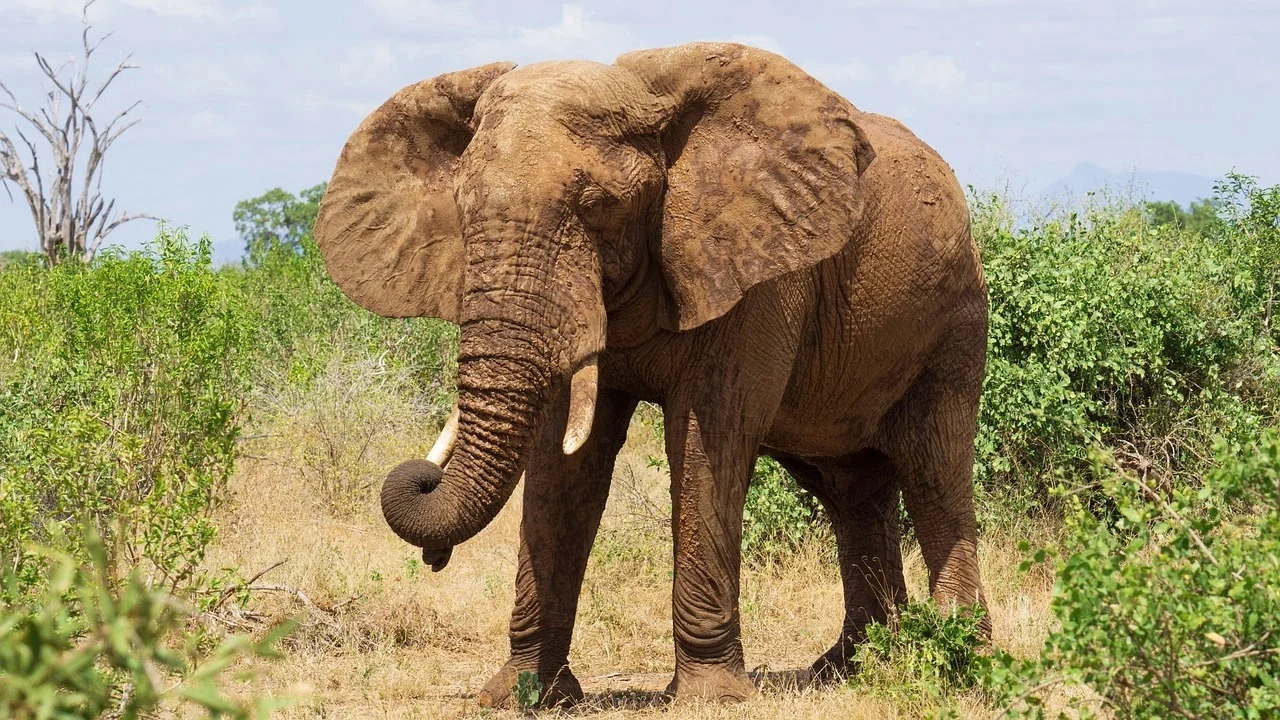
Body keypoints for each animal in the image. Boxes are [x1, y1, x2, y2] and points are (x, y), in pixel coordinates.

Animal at [314, 42, 989, 706]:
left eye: (599, 209)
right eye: (460, 210)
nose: (434, 548)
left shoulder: (759, 278)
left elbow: (705, 442)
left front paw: (712, 698)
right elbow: (565, 465)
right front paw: (521, 694)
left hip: (954, 321)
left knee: (934, 471)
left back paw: (957, 657)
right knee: (851, 491)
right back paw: (855, 668)